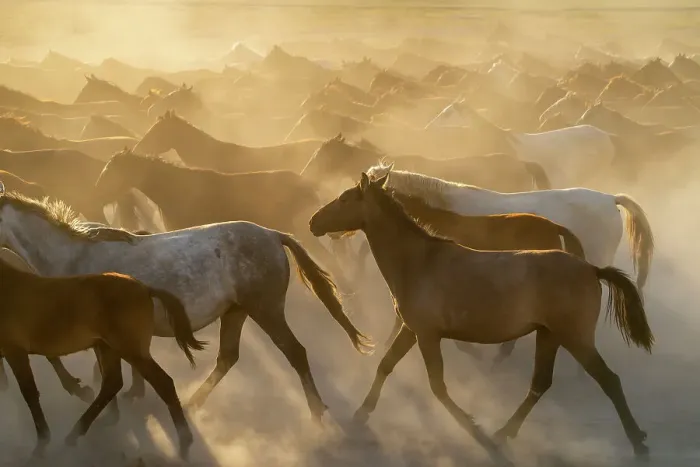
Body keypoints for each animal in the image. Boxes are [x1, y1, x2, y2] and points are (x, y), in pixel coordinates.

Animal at [0, 185, 372, 415]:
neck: (73, 257)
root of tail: (272, 234)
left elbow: (106, 374)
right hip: (236, 312)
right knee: (227, 357)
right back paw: (193, 404)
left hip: (265, 310)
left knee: (295, 353)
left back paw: (318, 415)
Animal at [0, 247, 205, 460]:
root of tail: (145, 288)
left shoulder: (15, 351)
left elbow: (29, 394)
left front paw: (41, 445)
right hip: (108, 348)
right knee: (112, 383)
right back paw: (80, 431)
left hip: (130, 350)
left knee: (162, 383)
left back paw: (184, 443)